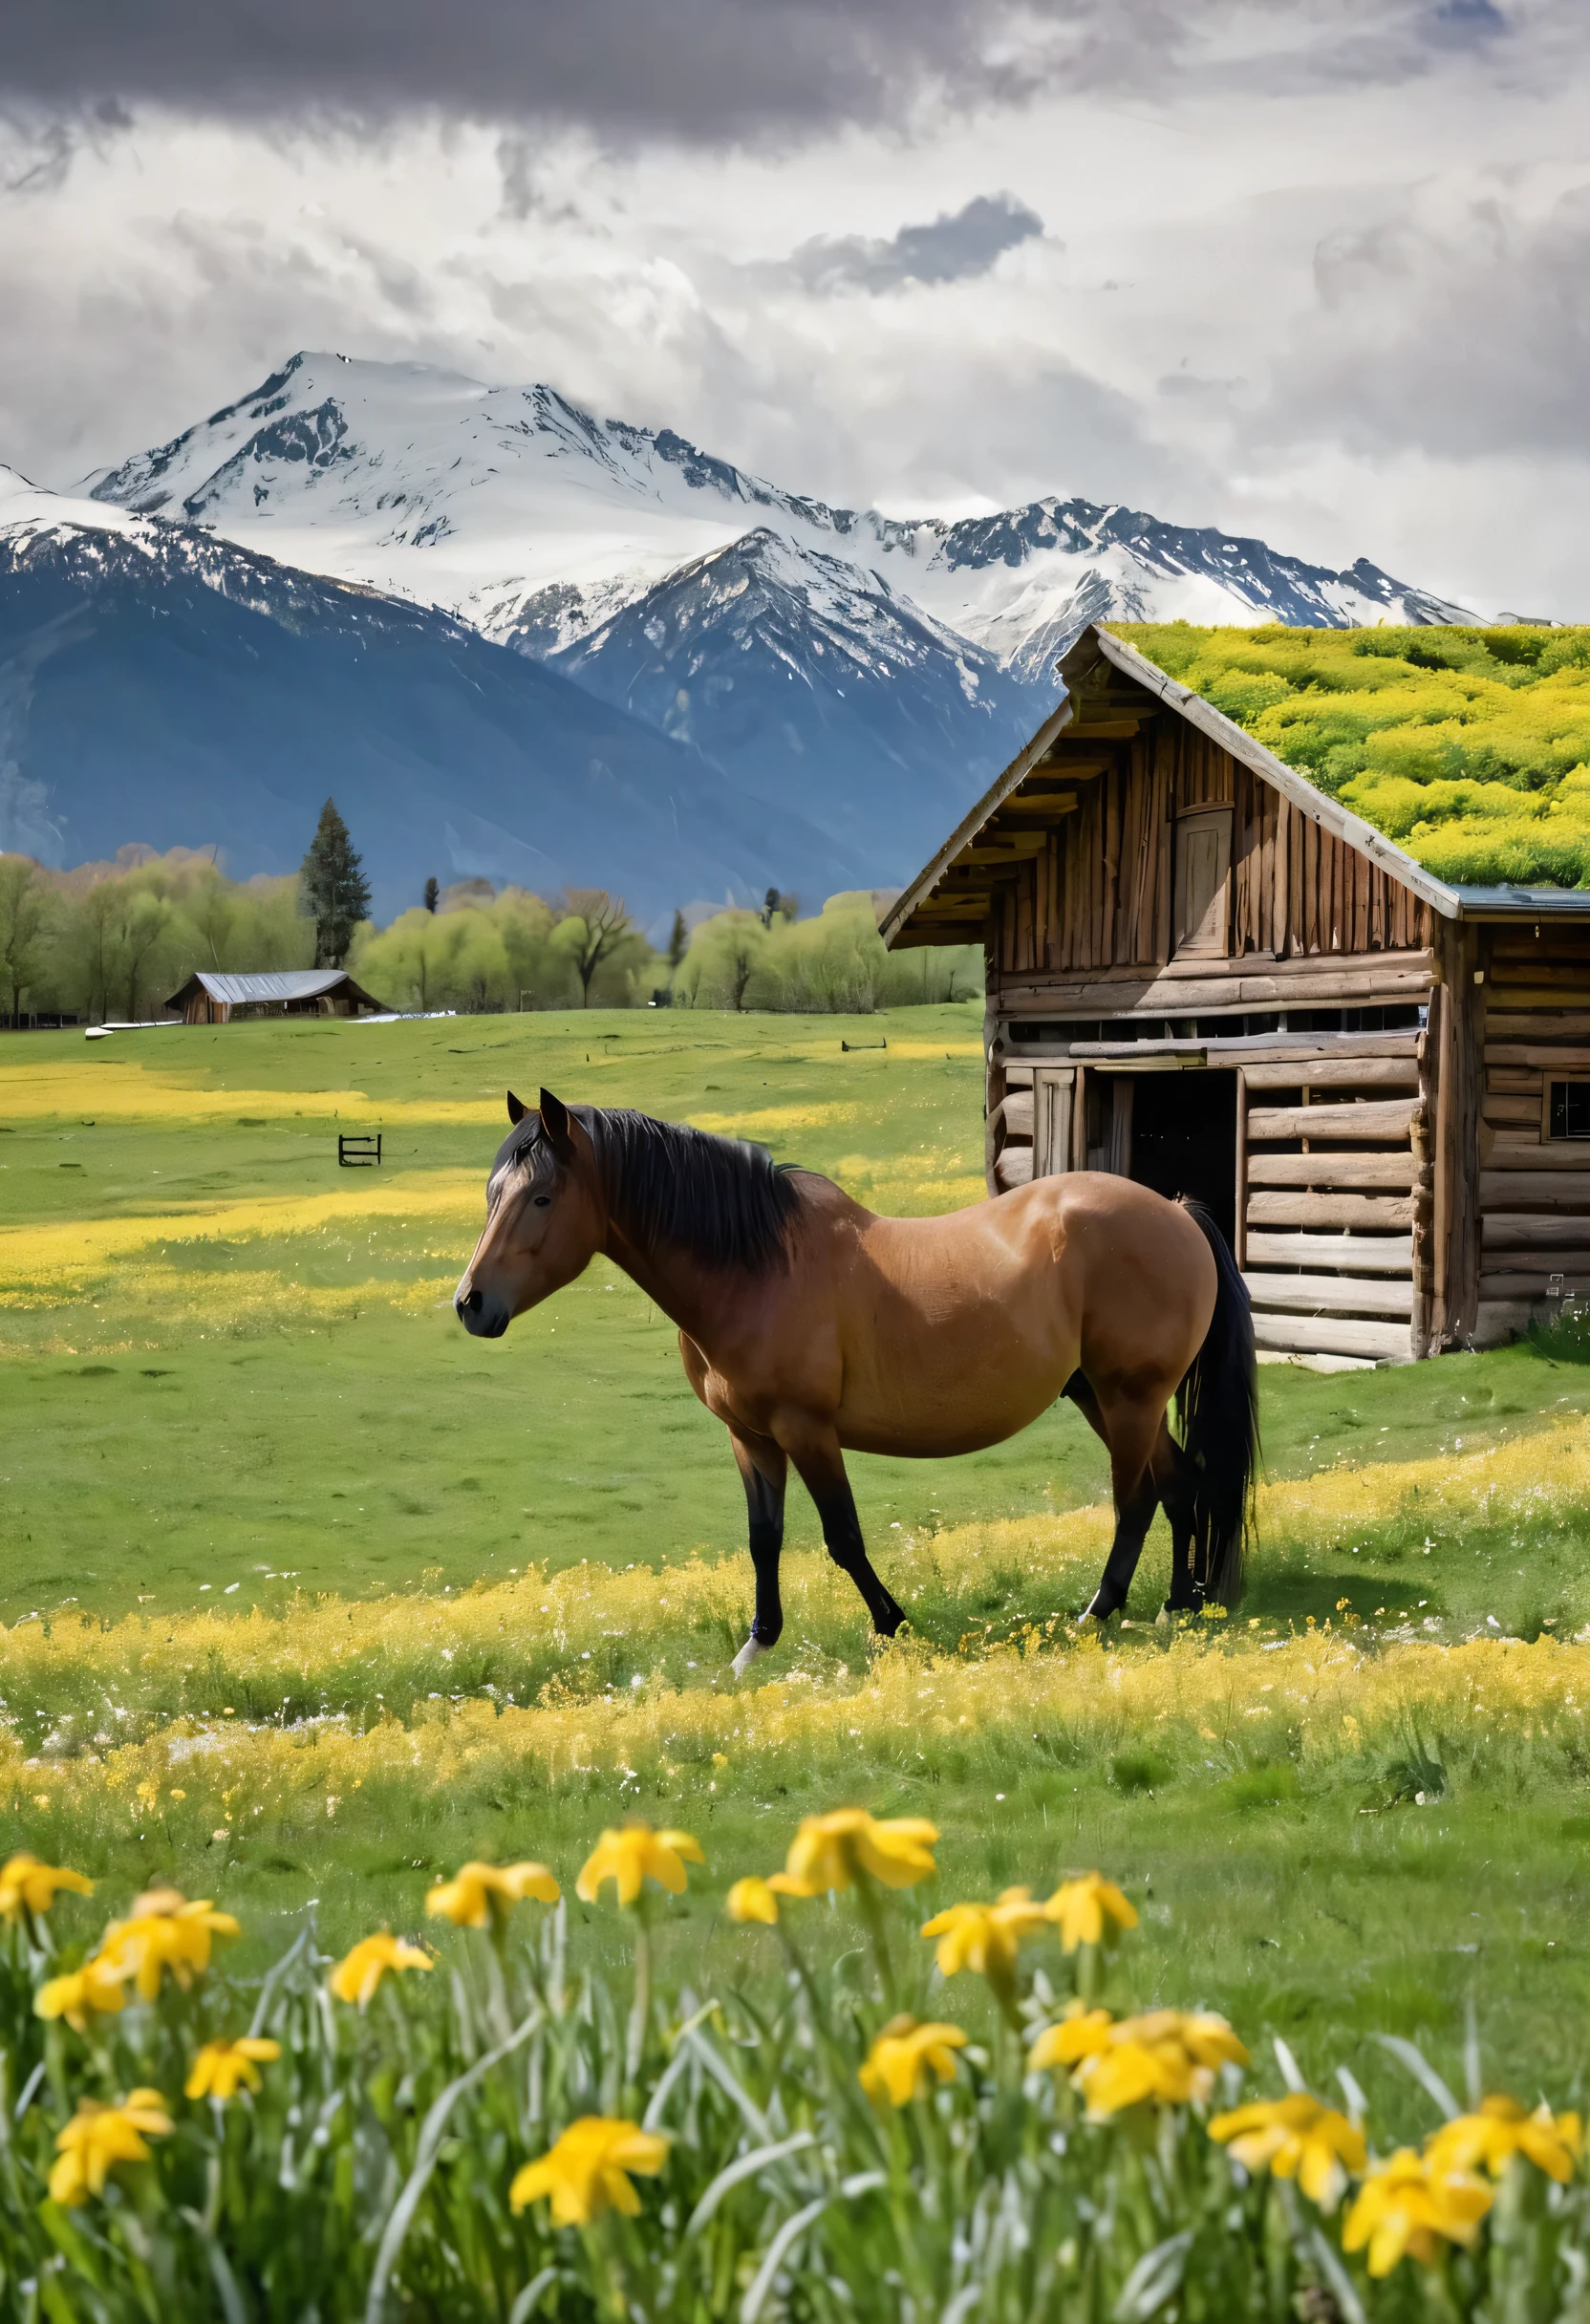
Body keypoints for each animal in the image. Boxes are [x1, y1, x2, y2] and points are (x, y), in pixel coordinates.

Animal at [455, 1092, 1255, 1673]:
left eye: (542, 1198)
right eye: (494, 1192)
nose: (470, 1304)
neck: (756, 1266)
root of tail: (1175, 1212)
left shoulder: (806, 1429)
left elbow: (842, 1535)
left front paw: (891, 1625)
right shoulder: (750, 1438)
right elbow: (764, 1539)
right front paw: (756, 1647)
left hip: (1129, 1398)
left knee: (1138, 1499)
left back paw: (1101, 1610)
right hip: (1107, 1397)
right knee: (1179, 1485)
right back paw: (1179, 1606)